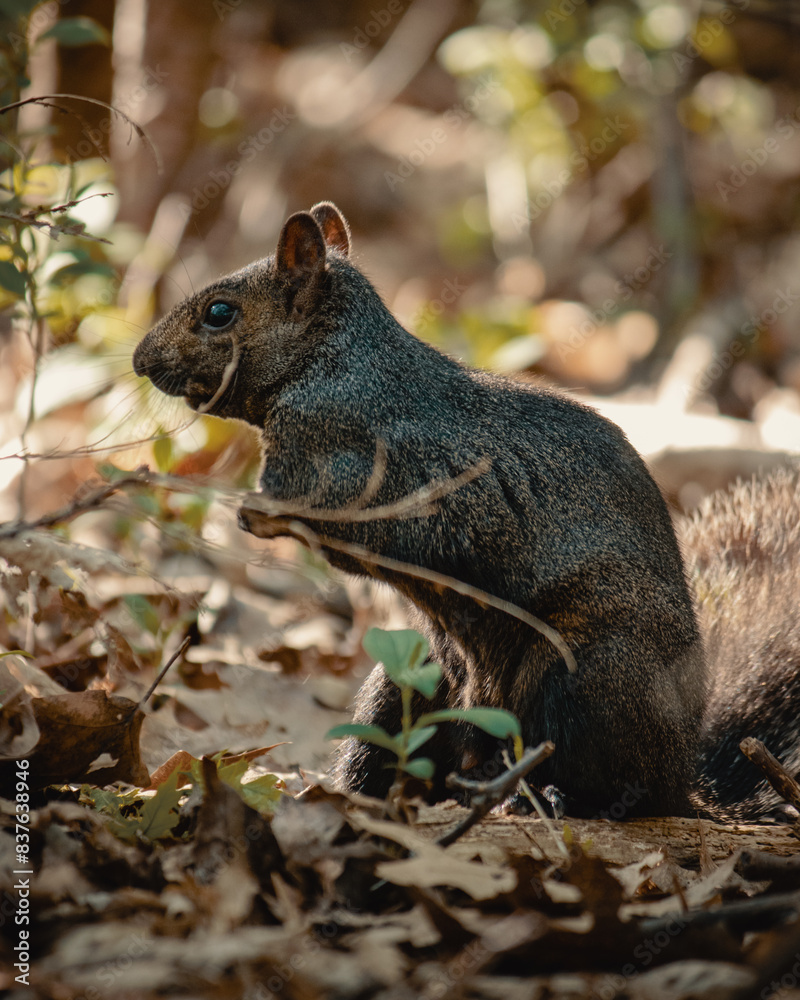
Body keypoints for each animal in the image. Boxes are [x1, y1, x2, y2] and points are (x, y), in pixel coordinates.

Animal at [132, 201, 799, 822]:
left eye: (220, 312)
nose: (140, 360)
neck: (332, 363)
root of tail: (683, 781)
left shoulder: (351, 460)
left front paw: (252, 513)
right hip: (407, 684)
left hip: (589, 674)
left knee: (600, 782)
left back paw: (536, 798)